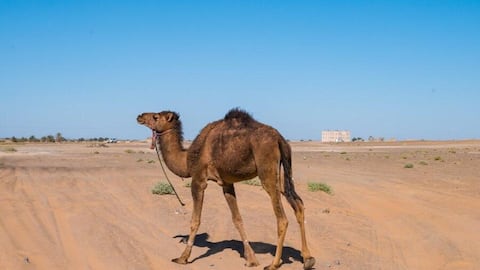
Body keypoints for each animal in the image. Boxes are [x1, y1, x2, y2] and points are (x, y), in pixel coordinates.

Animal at [136, 108, 316, 268]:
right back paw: (308, 258)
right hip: (284, 171)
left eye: (156, 116)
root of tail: (280, 138)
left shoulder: (198, 179)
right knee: (298, 205)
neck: (187, 159)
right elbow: (237, 219)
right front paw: (251, 259)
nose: (139, 116)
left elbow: (195, 220)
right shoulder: (227, 183)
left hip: (267, 170)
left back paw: (274, 264)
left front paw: (182, 258)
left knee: (282, 218)